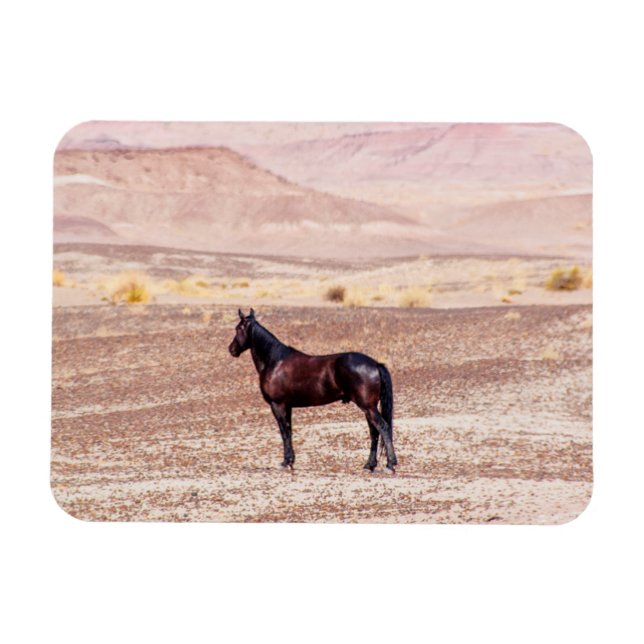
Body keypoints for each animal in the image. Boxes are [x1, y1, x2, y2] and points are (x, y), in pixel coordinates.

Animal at [228, 308, 398, 472]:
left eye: (238, 328)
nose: (231, 349)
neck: (275, 361)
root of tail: (375, 364)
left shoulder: (277, 405)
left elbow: (284, 432)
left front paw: (285, 463)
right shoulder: (287, 406)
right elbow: (289, 431)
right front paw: (290, 462)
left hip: (368, 407)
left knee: (382, 428)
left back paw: (389, 465)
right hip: (369, 408)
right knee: (374, 432)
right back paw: (369, 465)